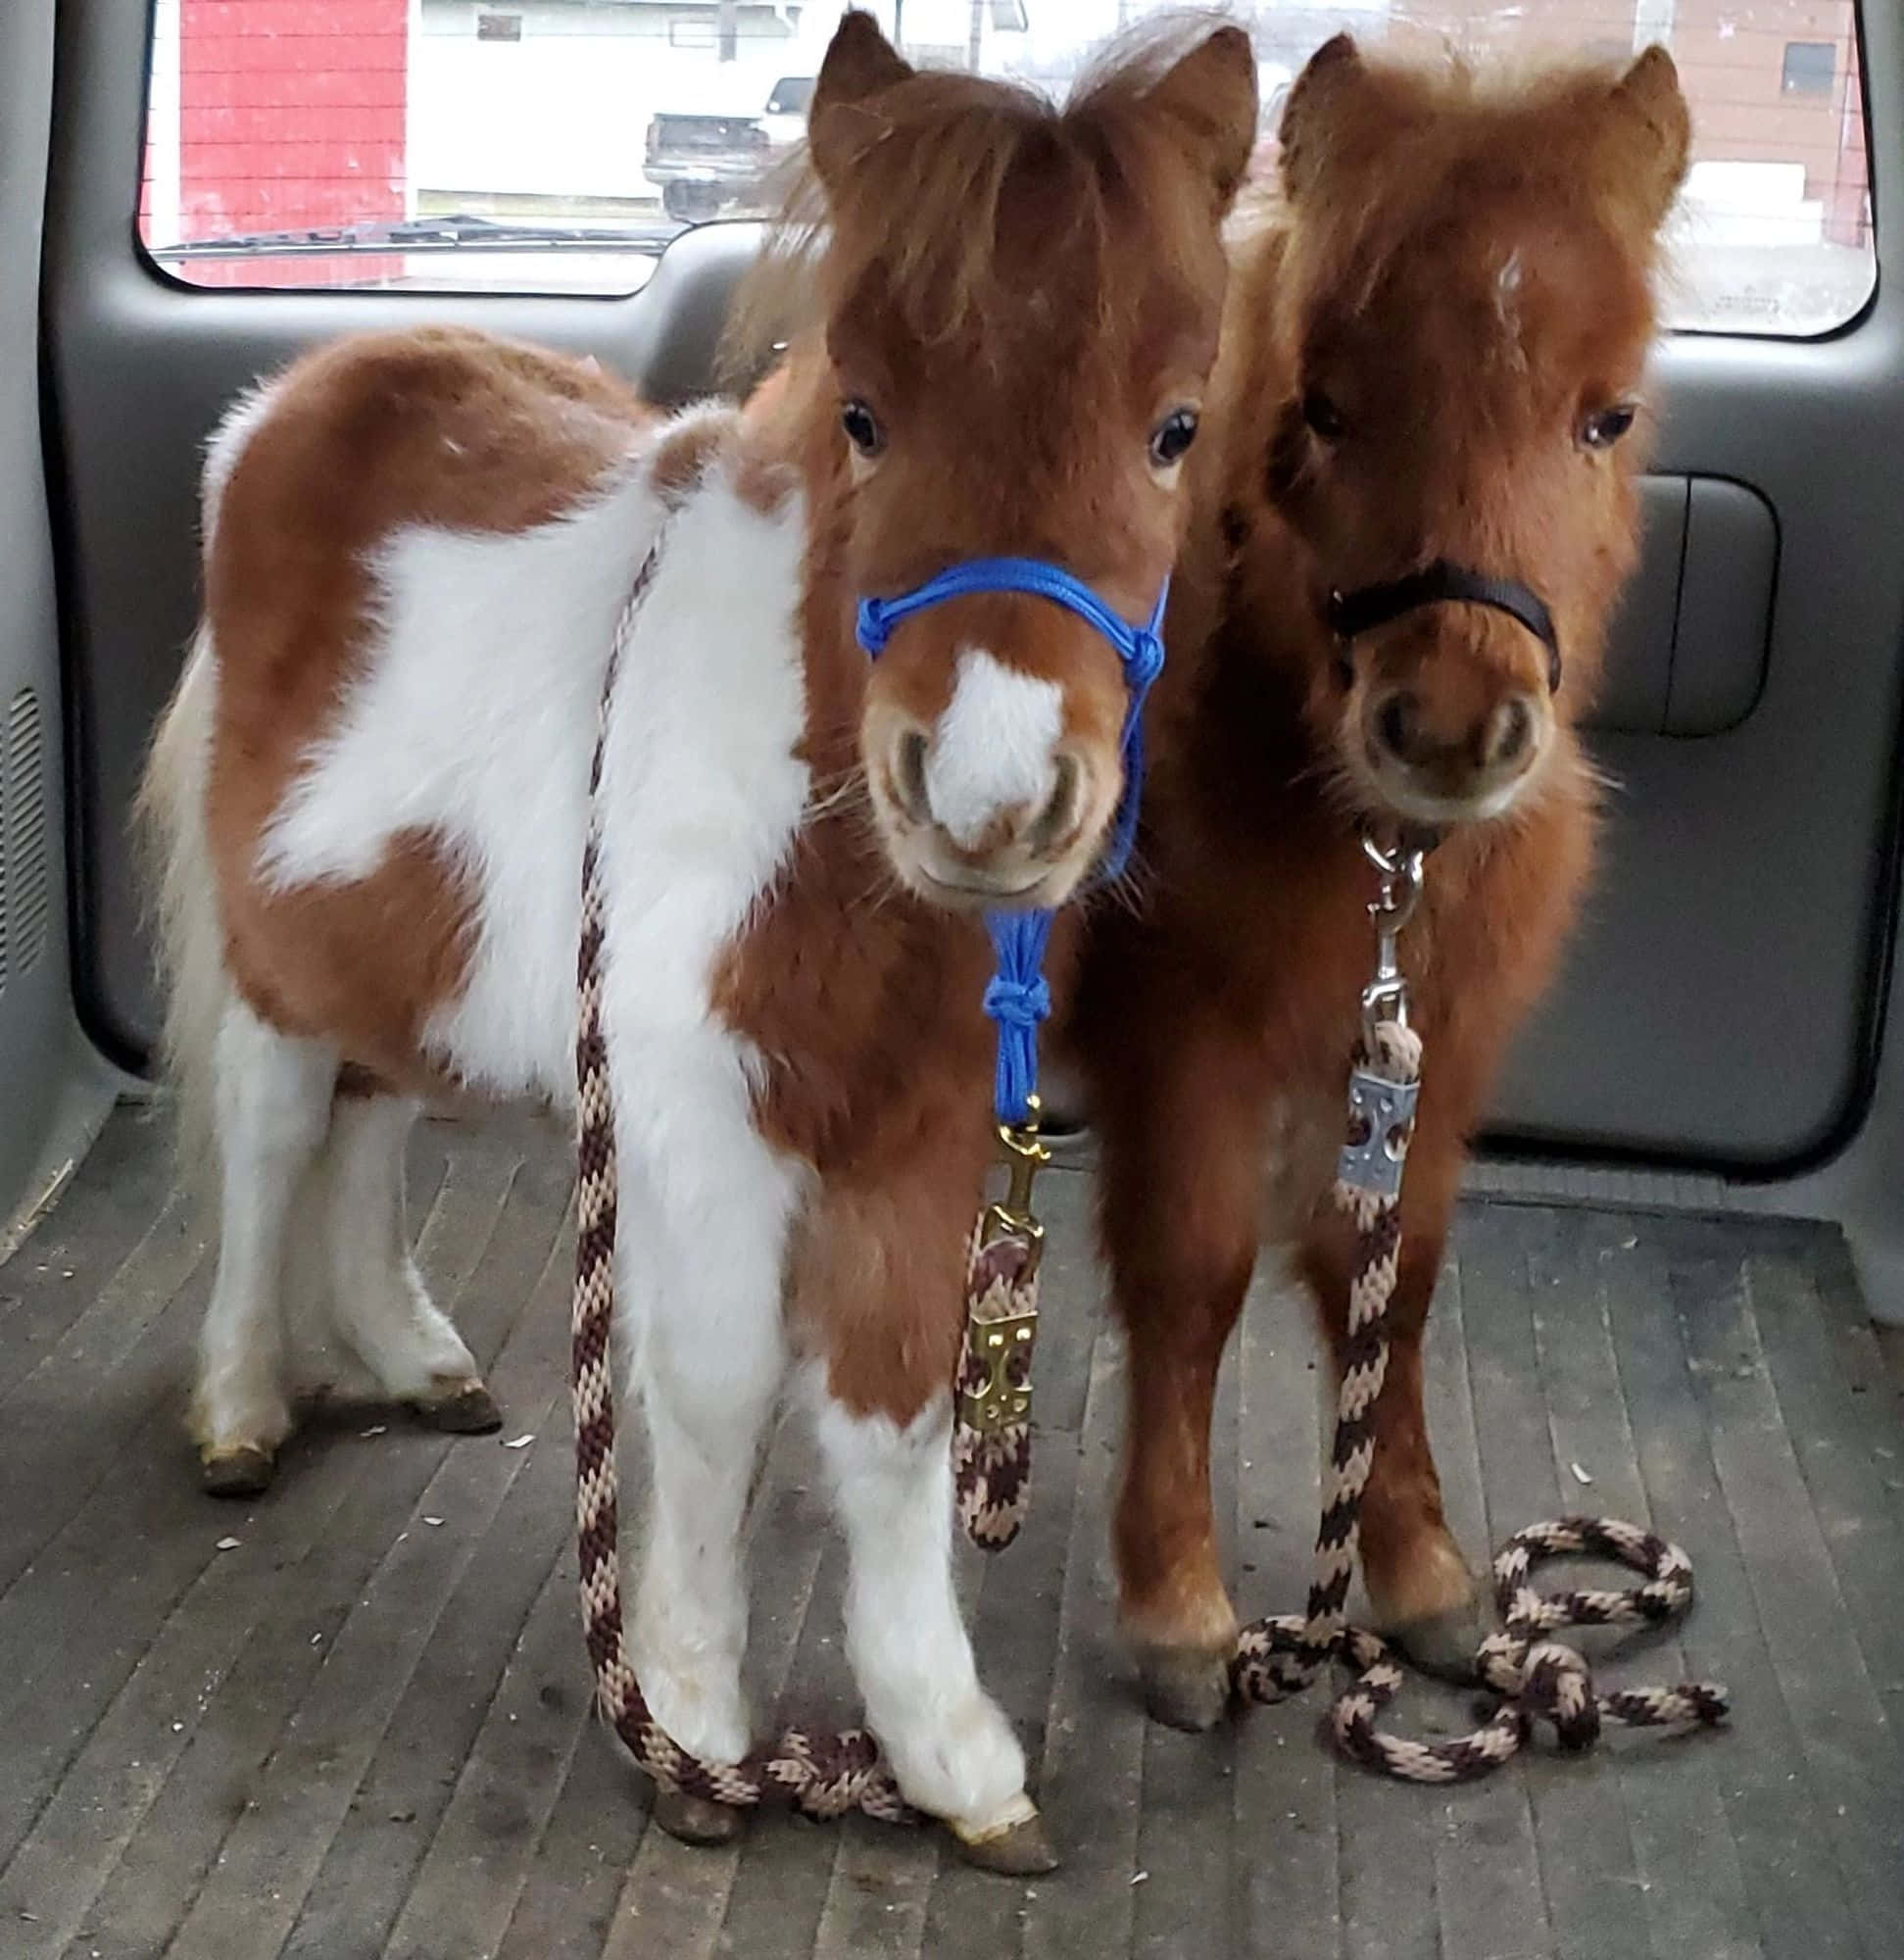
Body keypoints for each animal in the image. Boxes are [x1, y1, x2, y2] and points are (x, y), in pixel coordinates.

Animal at [136, 11, 1258, 1863]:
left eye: (1175, 427)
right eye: (861, 410)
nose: (990, 790)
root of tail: (308, 386)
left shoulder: (919, 1137)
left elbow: (892, 1418)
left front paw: (947, 1759)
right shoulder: (697, 1129)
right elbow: (719, 1396)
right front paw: (691, 1728)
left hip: (411, 937)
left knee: (373, 1123)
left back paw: (412, 1357)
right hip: (279, 955)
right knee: (275, 1131)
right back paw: (236, 1409)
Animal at [1060, 34, 1692, 1729]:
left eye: (1606, 416)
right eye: (1325, 408)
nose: (1450, 725)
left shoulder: (1432, 1051)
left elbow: (1390, 1282)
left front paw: (1415, 1576)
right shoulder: (1181, 1042)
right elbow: (1192, 1280)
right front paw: (1175, 1607)